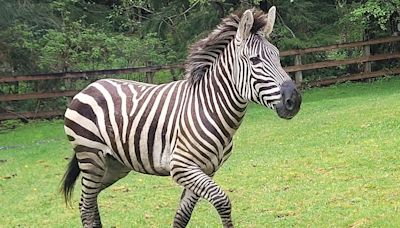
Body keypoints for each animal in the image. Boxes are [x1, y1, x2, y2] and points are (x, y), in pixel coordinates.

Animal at [61, 7, 300, 228]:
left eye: (277, 56)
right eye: (255, 60)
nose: (294, 100)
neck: (210, 108)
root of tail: (90, 86)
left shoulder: (206, 170)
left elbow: (182, 216)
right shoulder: (182, 166)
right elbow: (222, 200)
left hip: (114, 165)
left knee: (88, 201)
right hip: (91, 157)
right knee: (86, 205)